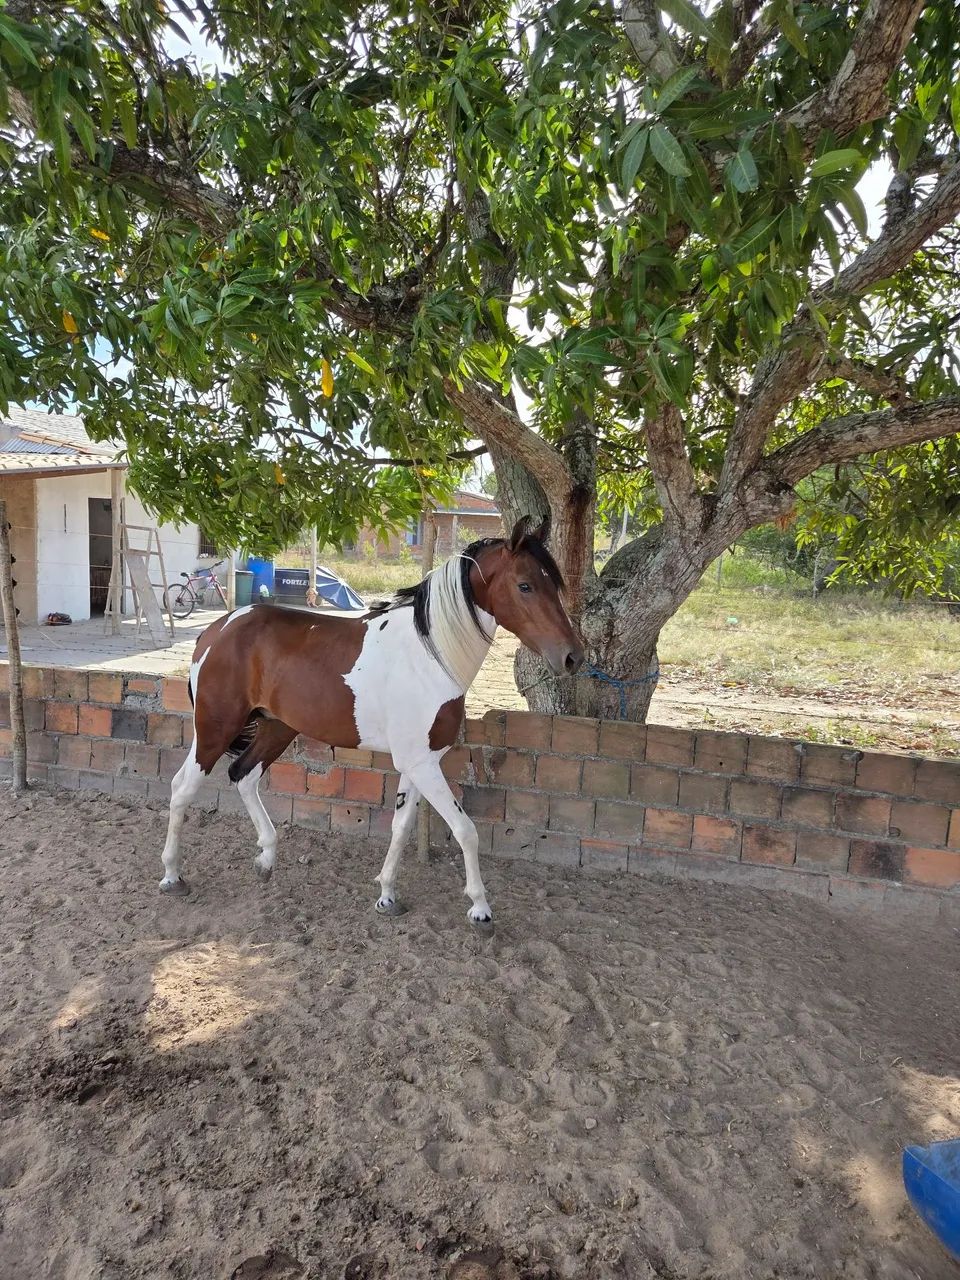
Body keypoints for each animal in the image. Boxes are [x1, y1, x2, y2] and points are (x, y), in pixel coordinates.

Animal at [159, 518, 584, 925]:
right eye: (525, 585)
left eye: (553, 583)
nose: (572, 657)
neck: (429, 657)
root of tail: (216, 630)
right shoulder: (423, 764)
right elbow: (466, 830)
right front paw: (480, 907)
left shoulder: (418, 763)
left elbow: (401, 827)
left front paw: (387, 895)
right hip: (215, 729)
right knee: (182, 788)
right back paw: (172, 876)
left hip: (277, 727)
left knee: (244, 776)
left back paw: (265, 858)